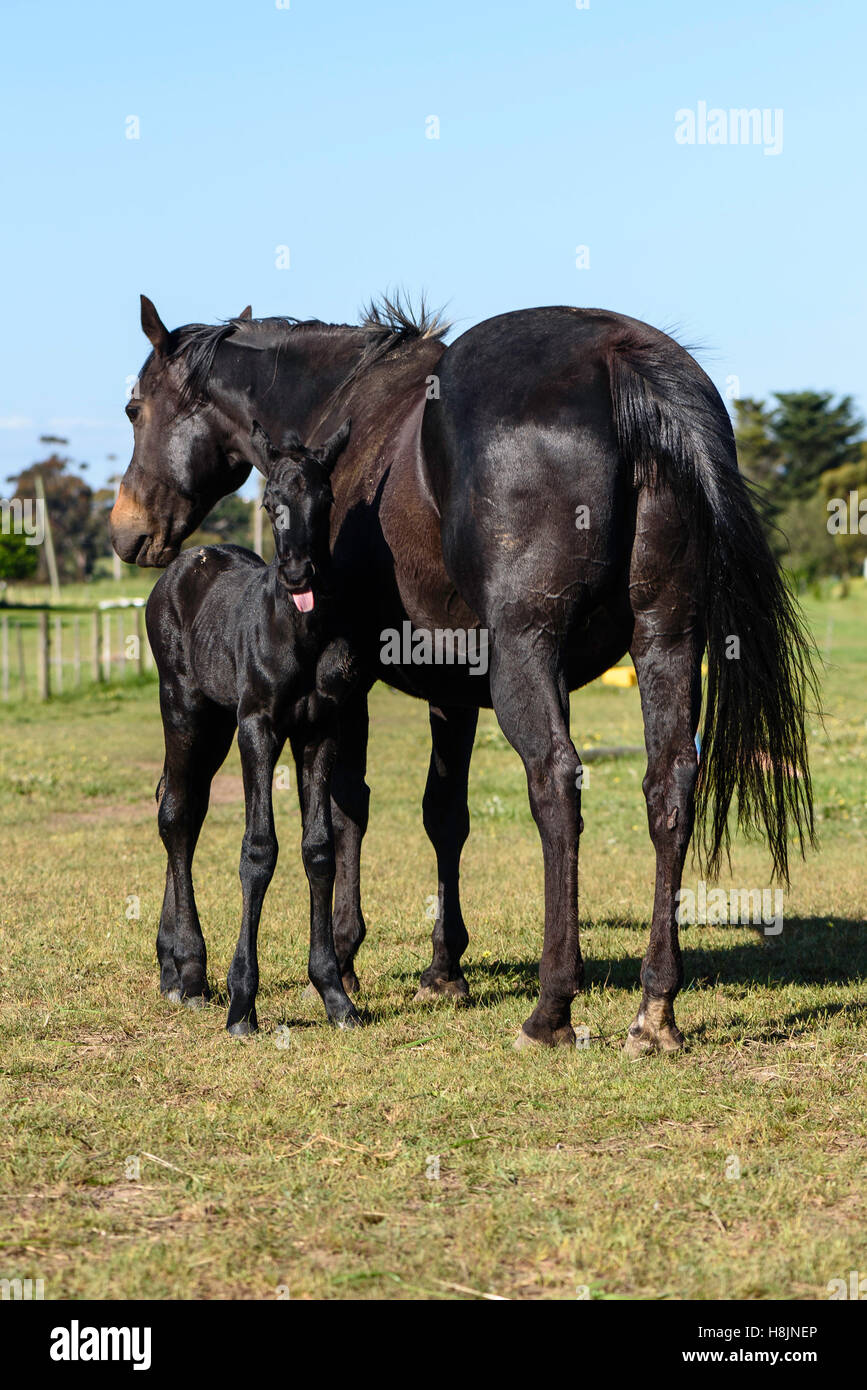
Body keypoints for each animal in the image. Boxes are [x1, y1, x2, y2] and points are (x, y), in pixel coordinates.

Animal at [146, 419, 359, 1035]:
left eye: (326, 498)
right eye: (269, 502)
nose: (298, 572)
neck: (299, 632)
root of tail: (182, 565)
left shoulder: (321, 730)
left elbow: (319, 849)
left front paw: (335, 994)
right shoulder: (258, 727)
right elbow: (259, 850)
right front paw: (243, 1002)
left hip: (217, 724)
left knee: (183, 804)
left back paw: (171, 965)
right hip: (185, 710)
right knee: (176, 815)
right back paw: (190, 972)